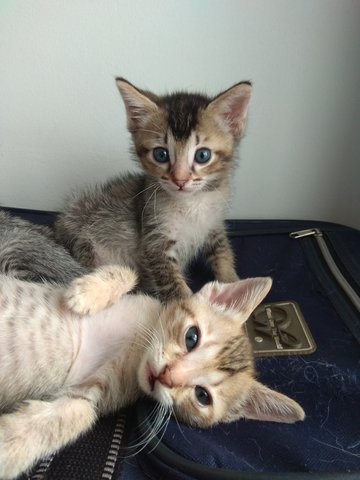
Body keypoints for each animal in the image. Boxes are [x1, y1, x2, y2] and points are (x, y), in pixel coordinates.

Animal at [0, 266, 304, 476]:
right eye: (192, 337)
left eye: (202, 396)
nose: (166, 376)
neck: (136, 349)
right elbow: (131, 272)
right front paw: (87, 293)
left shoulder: (91, 392)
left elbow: (80, 413)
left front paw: (8, 444)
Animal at [56, 80, 252, 302]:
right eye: (161, 154)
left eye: (202, 155)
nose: (180, 180)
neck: (192, 203)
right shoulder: (155, 238)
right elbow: (173, 284)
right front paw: (186, 305)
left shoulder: (214, 224)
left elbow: (223, 252)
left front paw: (232, 282)